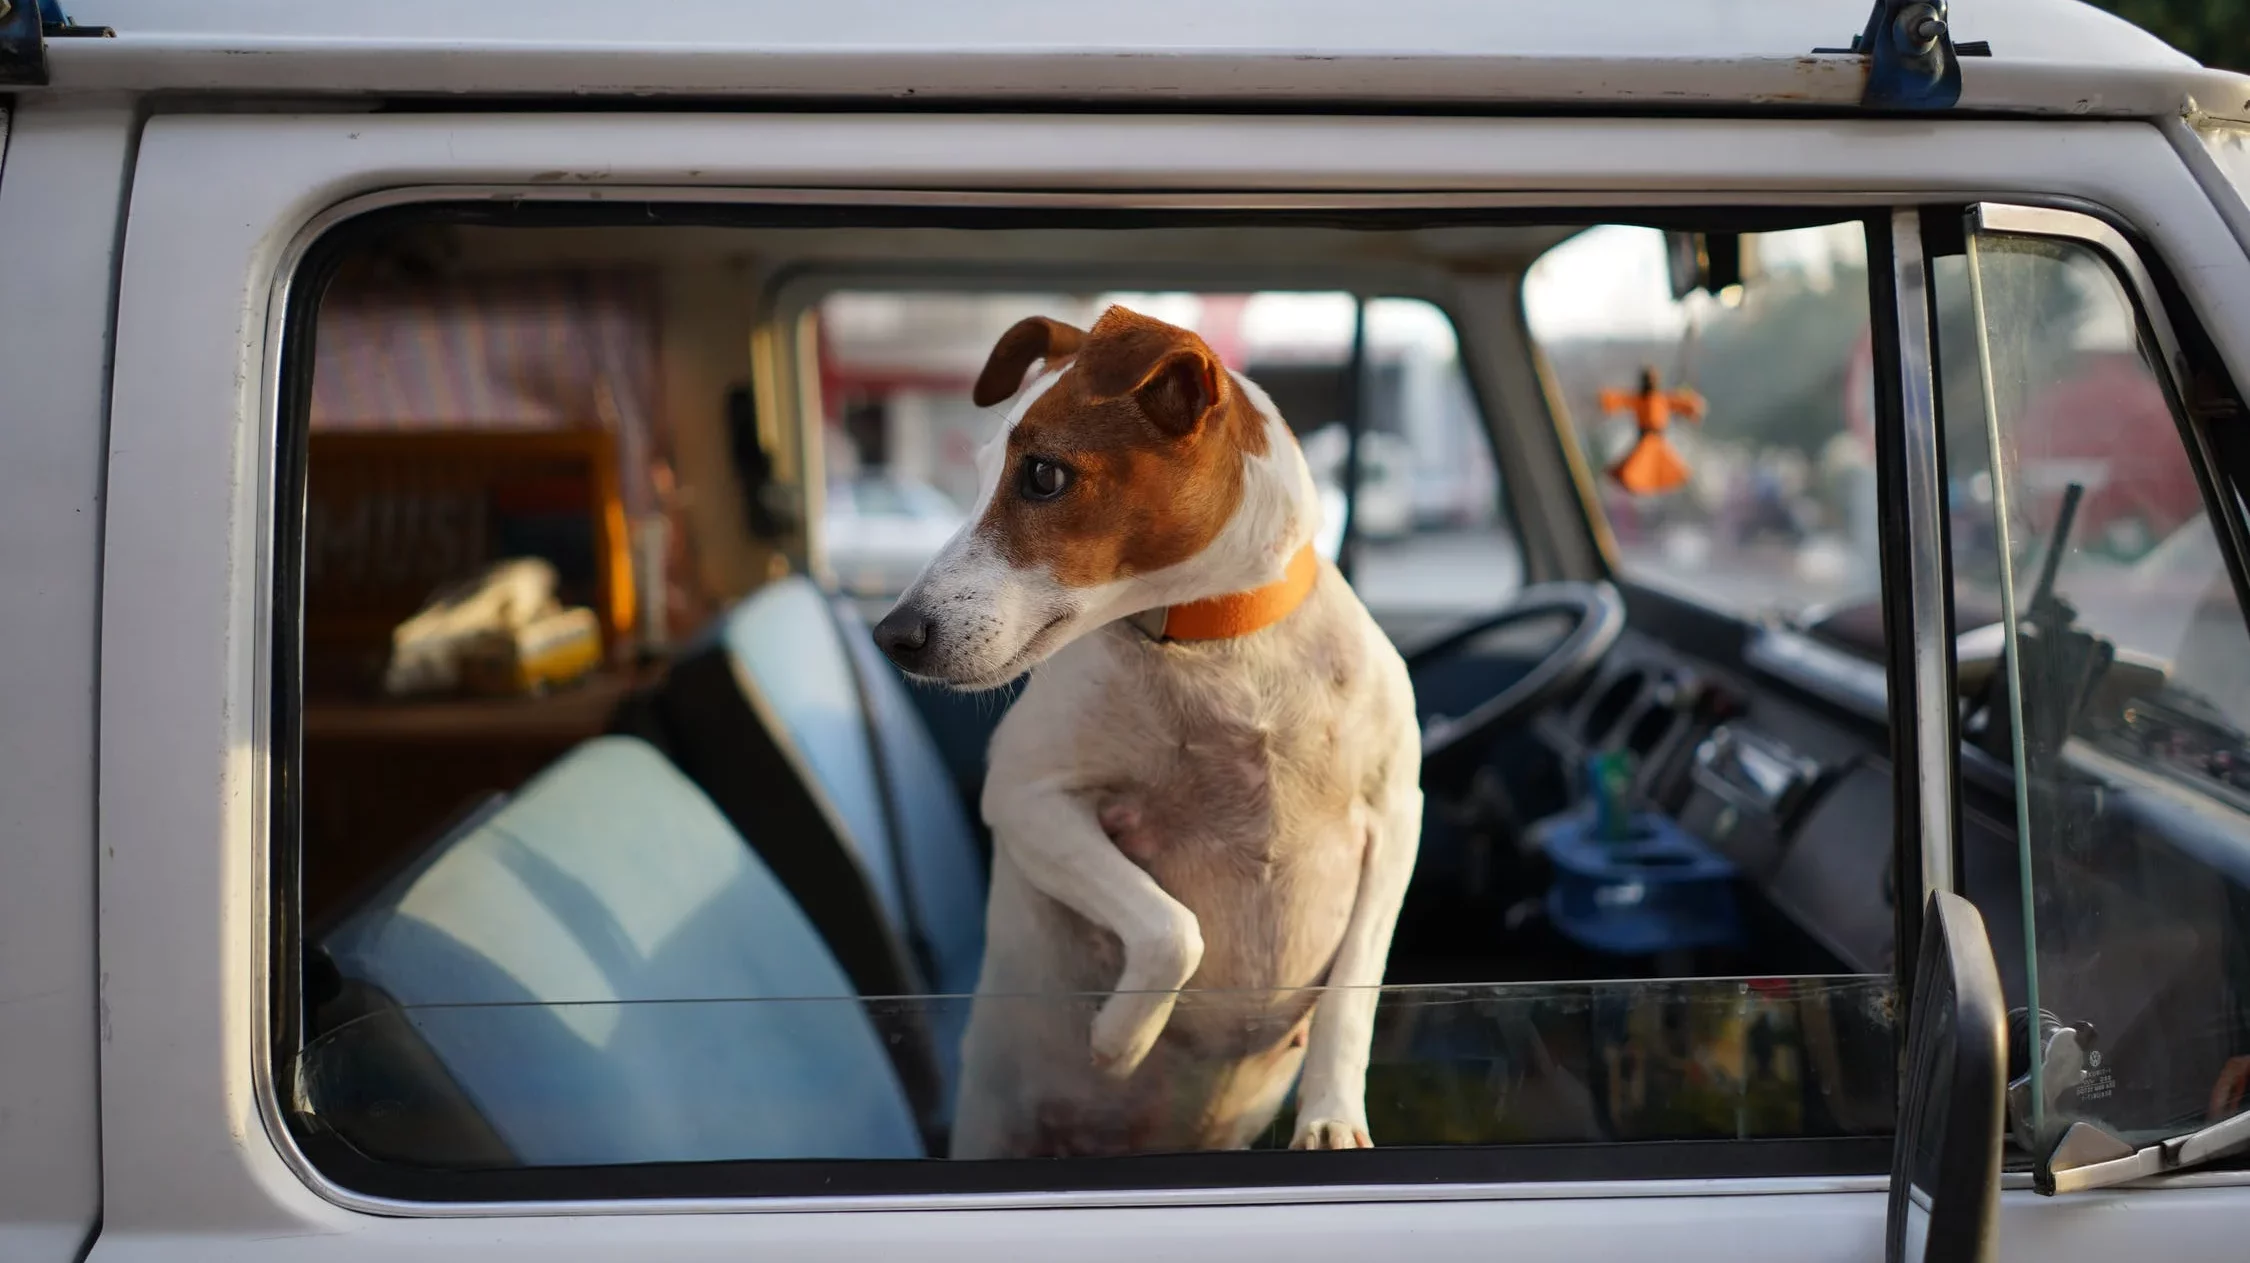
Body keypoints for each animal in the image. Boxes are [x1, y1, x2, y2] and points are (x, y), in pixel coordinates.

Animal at [868, 303, 1413, 1152]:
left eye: (1043, 475)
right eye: (985, 466)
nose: (893, 635)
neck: (1217, 645)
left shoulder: (1395, 820)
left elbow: (1354, 988)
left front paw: (1330, 1116)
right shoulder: (1026, 800)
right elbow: (1172, 927)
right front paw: (1121, 1039)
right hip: (993, 1123)